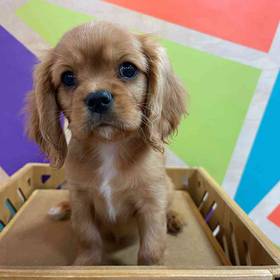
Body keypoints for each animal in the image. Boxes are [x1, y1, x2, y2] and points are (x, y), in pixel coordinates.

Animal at [26, 21, 187, 264]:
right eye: (67, 77)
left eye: (128, 69)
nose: (97, 99)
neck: (109, 146)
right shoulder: (81, 201)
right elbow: (88, 238)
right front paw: (85, 264)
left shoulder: (151, 203)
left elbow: (151, 249)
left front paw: (152, 267)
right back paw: (61, 207)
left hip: (167, 187)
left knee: (170, 203)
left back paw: (175, 218)